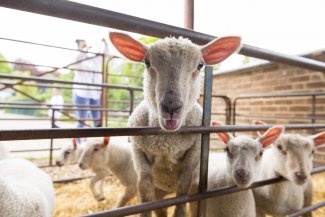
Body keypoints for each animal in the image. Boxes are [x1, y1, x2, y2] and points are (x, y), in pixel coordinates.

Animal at [109, 31, 240, 217]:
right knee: (159, 208)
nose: (171, 106)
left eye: (200, 65)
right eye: (147, 62)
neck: (166, 143)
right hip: (159, 192)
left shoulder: (193, 155)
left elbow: (183, 191)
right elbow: (144, 192)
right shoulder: (139, 153)